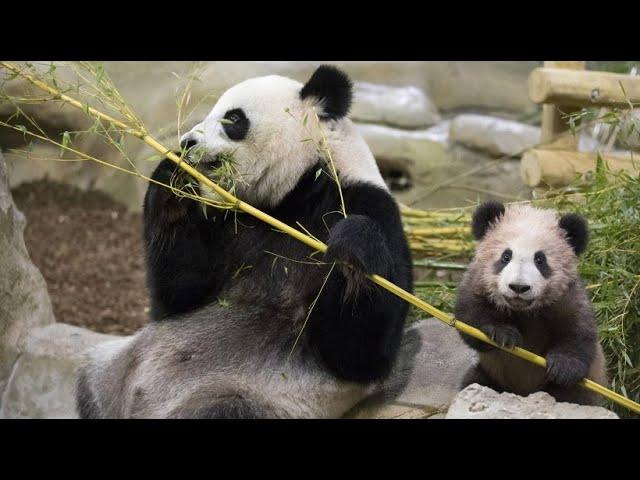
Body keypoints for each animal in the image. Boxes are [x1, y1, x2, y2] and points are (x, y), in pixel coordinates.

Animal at [76, 65, 416, 418]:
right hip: (113, 367)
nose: (187, 141)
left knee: (222, 409)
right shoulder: (228, 222)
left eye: (233, 118)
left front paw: (351, 252)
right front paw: (176, 177)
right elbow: (179, 294)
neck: (292, 197)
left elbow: (358, 354)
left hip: (246, 397)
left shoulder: (364, 204)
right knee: (91, 382)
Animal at [452, 201, 608, 406]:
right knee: (475, 381)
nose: (519, 287)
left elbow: (579, 330)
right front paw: (503, 334)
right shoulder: (477, 282)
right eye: (506, 256)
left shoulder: (567, 295)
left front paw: (564, 367)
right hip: (491, 375)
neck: (523, 311)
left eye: (540, 260)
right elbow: (470, 318)